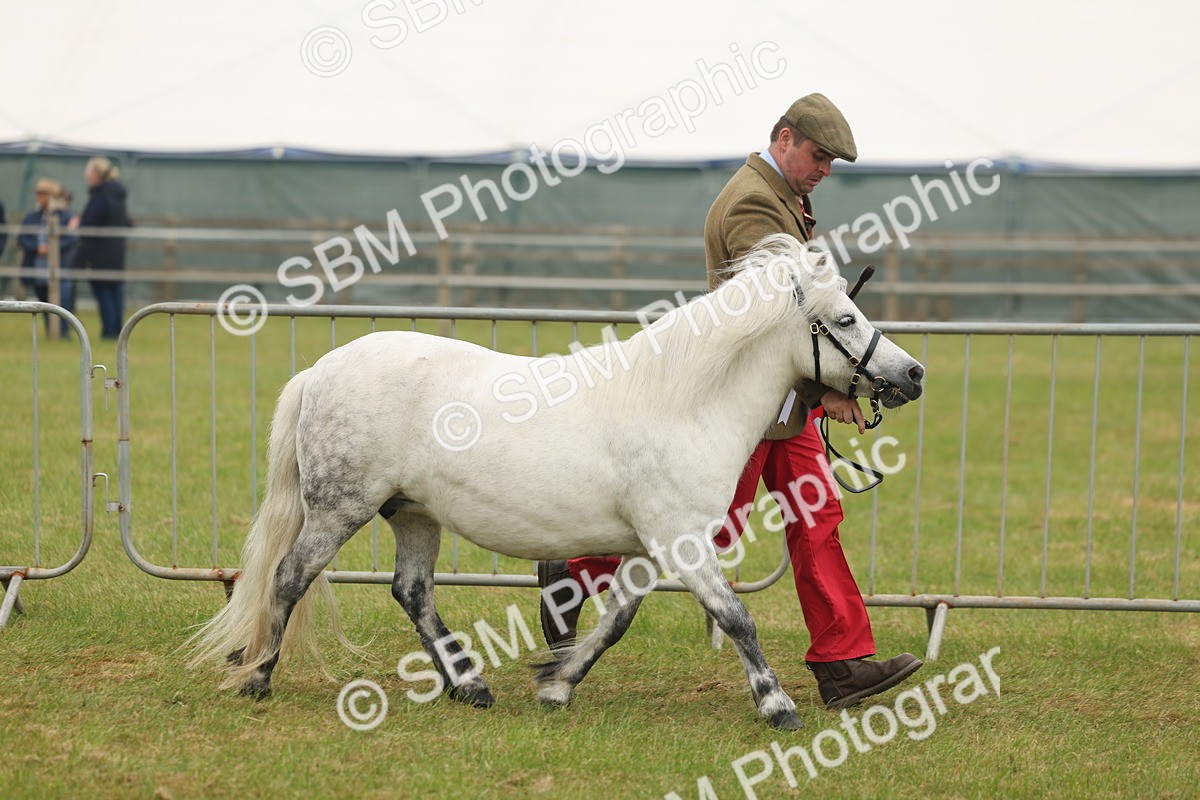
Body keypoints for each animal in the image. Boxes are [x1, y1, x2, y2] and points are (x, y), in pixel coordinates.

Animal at [186, 233, 925, 729]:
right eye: (847, 318)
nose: (913, 374)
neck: (683, 403)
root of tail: (321, 370)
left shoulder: (648, 550)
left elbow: (616, 620)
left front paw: (557, 683)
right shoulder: (682, 543)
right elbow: (735, 618)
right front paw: (776, 705)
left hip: (414, 513)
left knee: (413, 592)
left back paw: (470, 686)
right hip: (341, 509)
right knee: (289, 577)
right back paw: (258, 677)